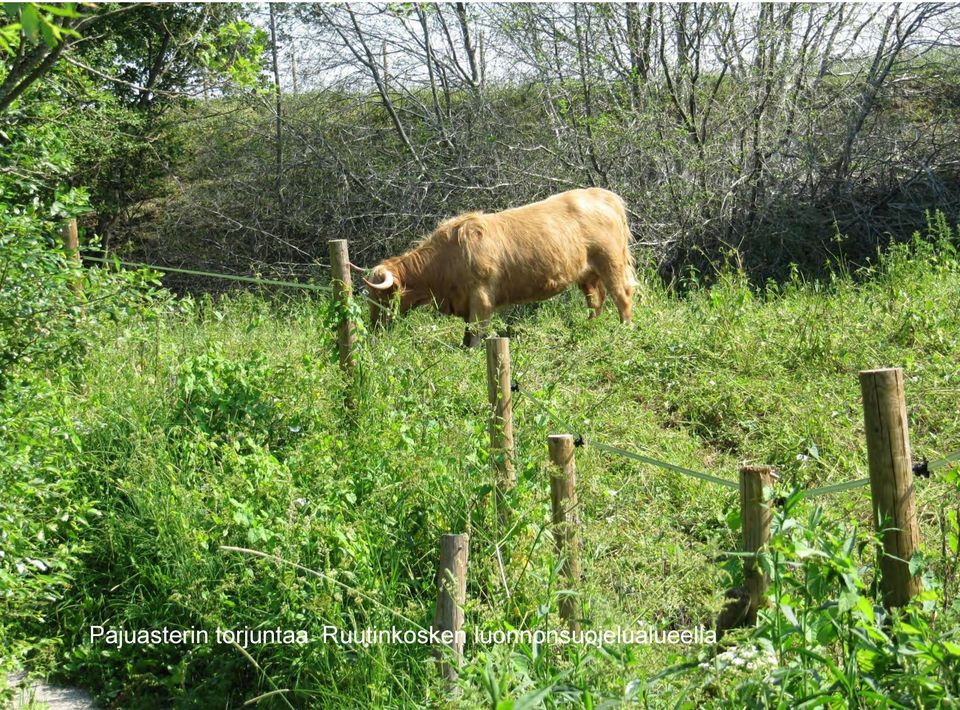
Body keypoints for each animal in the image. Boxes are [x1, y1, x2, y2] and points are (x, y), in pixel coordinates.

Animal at [364, 188, 632, 346]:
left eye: (383, 297)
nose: (374, 327)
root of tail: (602, 194)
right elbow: (467, 331)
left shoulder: (481, 297)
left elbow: (475, 332)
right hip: (588, 273)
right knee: (596, 300)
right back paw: (590, 326)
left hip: (611, 263)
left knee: (622, 296)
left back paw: (625, 330)